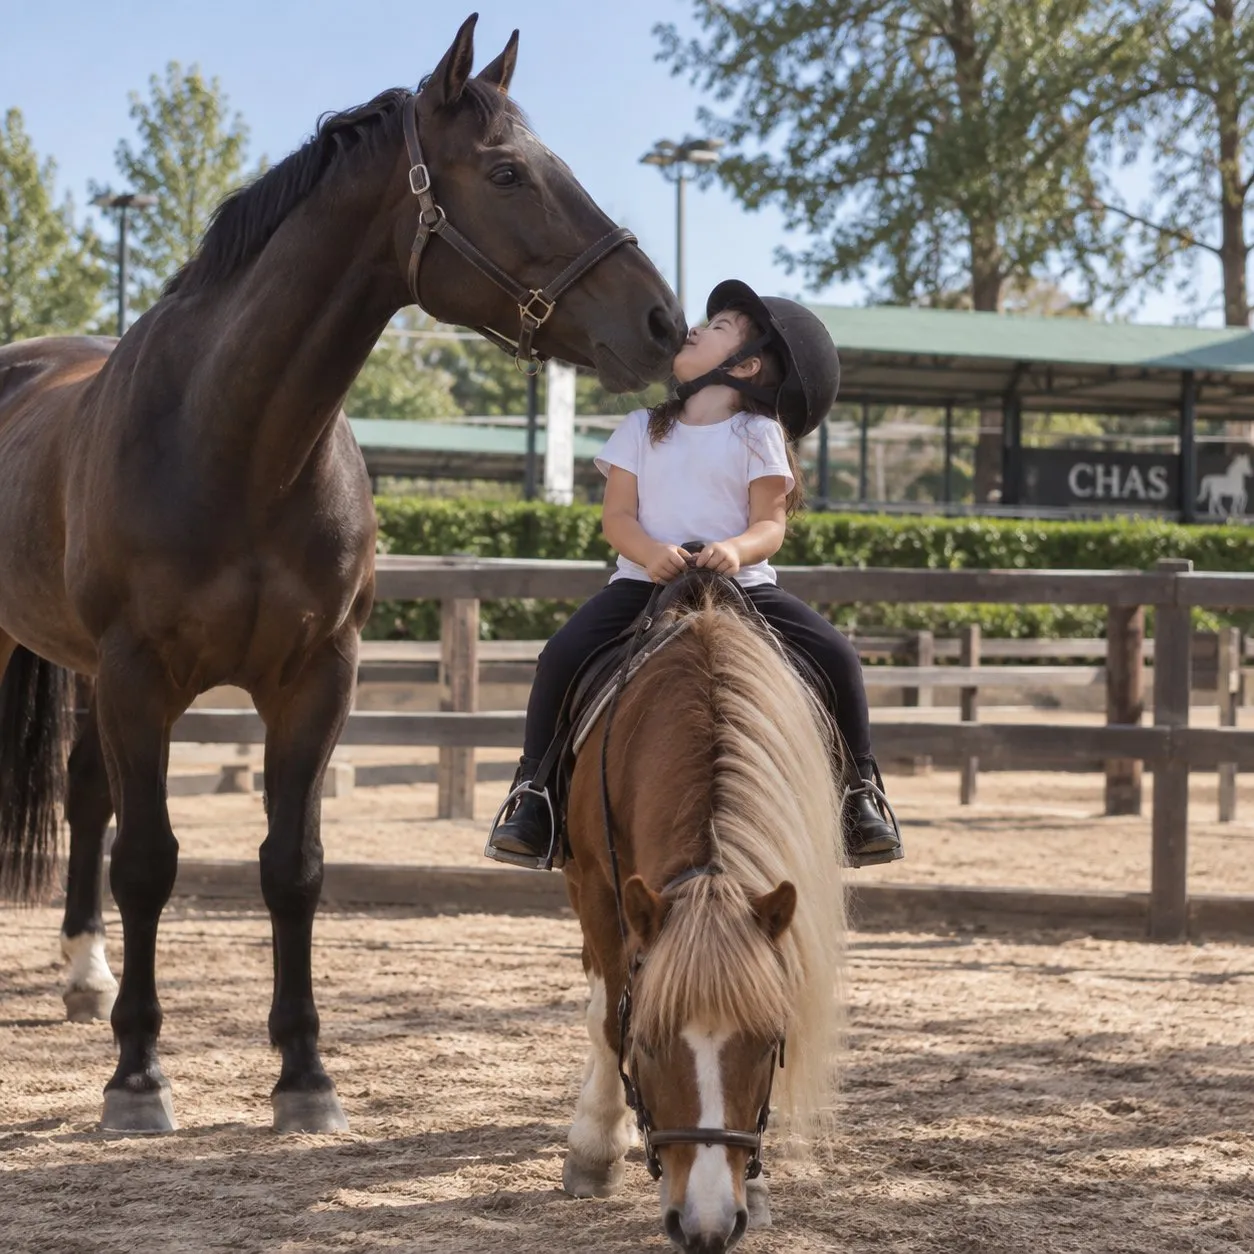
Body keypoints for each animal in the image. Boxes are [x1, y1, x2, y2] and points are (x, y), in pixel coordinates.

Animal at [0, 14, 683, 1135]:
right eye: (506, 172)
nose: (665, 322)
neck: (230, 443)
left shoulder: (316, 678)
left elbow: (294, 867)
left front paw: (305, 1077)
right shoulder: (141, 676)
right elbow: (150, 863)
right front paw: (138, 1078)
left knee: (88, 794)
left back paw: (85, 977)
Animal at [559, 578, 845, 1253]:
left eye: (769, 1045)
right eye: (649, 1043)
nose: (708, 1226)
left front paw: (759, 1186)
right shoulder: (600, 889)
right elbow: (607, 1021)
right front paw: (595, 1149)